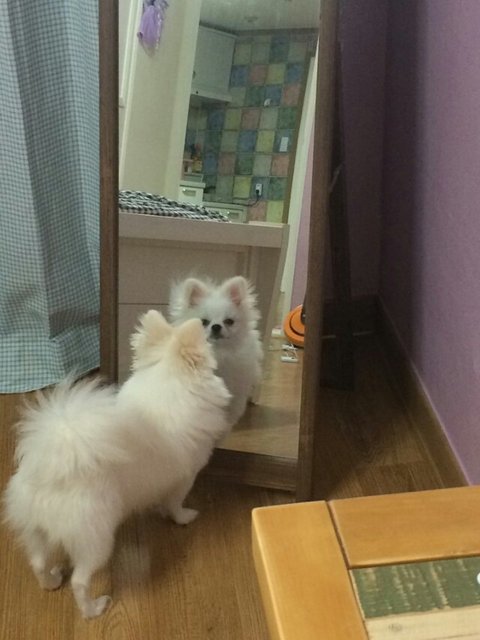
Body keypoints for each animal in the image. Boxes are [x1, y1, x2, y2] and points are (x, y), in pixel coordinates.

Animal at [4, 311, 231, 618]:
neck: (166, 385)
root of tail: (54, 470)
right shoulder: (184, 478)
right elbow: (175, 504)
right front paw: (183, 518)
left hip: (36, 529)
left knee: (38, 563)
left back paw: (51, 581)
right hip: (96, 539)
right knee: (79, 581)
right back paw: (93, 609)